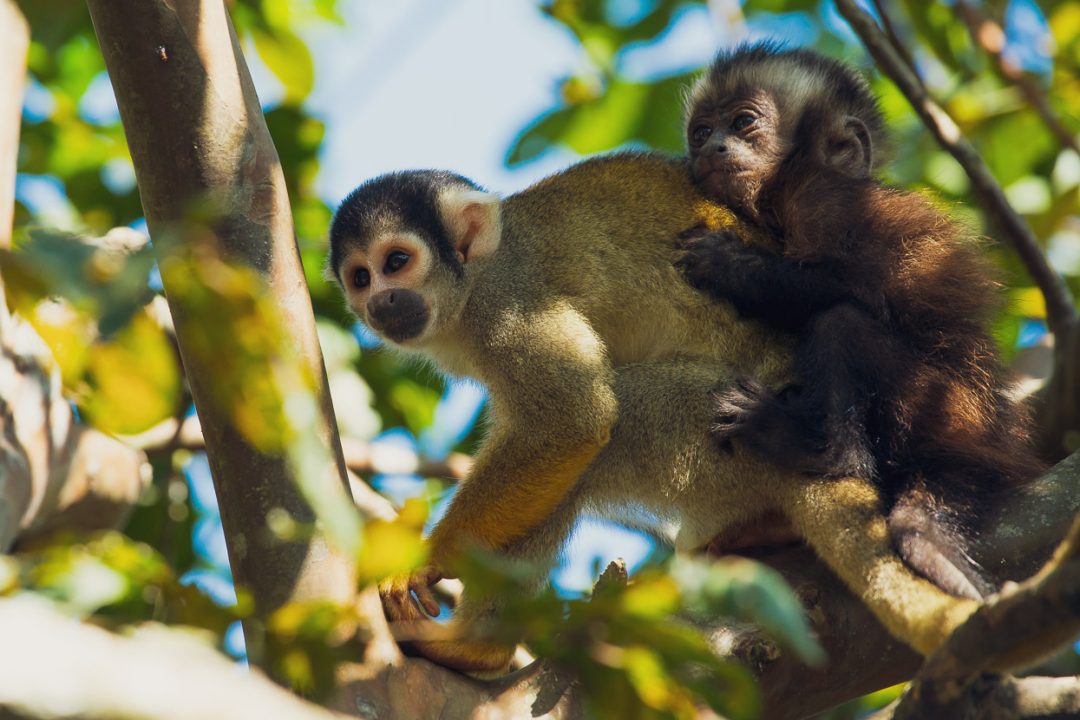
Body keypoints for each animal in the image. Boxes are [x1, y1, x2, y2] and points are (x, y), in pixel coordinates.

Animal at [326, 153, 980, 677]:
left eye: (398, 261)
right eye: (360, 276)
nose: (380, 301)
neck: (470, 287)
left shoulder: (507, 305)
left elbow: (571, 420)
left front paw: (424, 558)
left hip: (717, 429)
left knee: (605, 432)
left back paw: (472, 649)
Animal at [678, 42, 1041, 600]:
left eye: (743, 123)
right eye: (700, 131)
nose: (712, 148)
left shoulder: (819, 197)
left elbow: (854, 288)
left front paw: (727, 264)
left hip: (940, 405)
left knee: (839, 324)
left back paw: (823, 453)